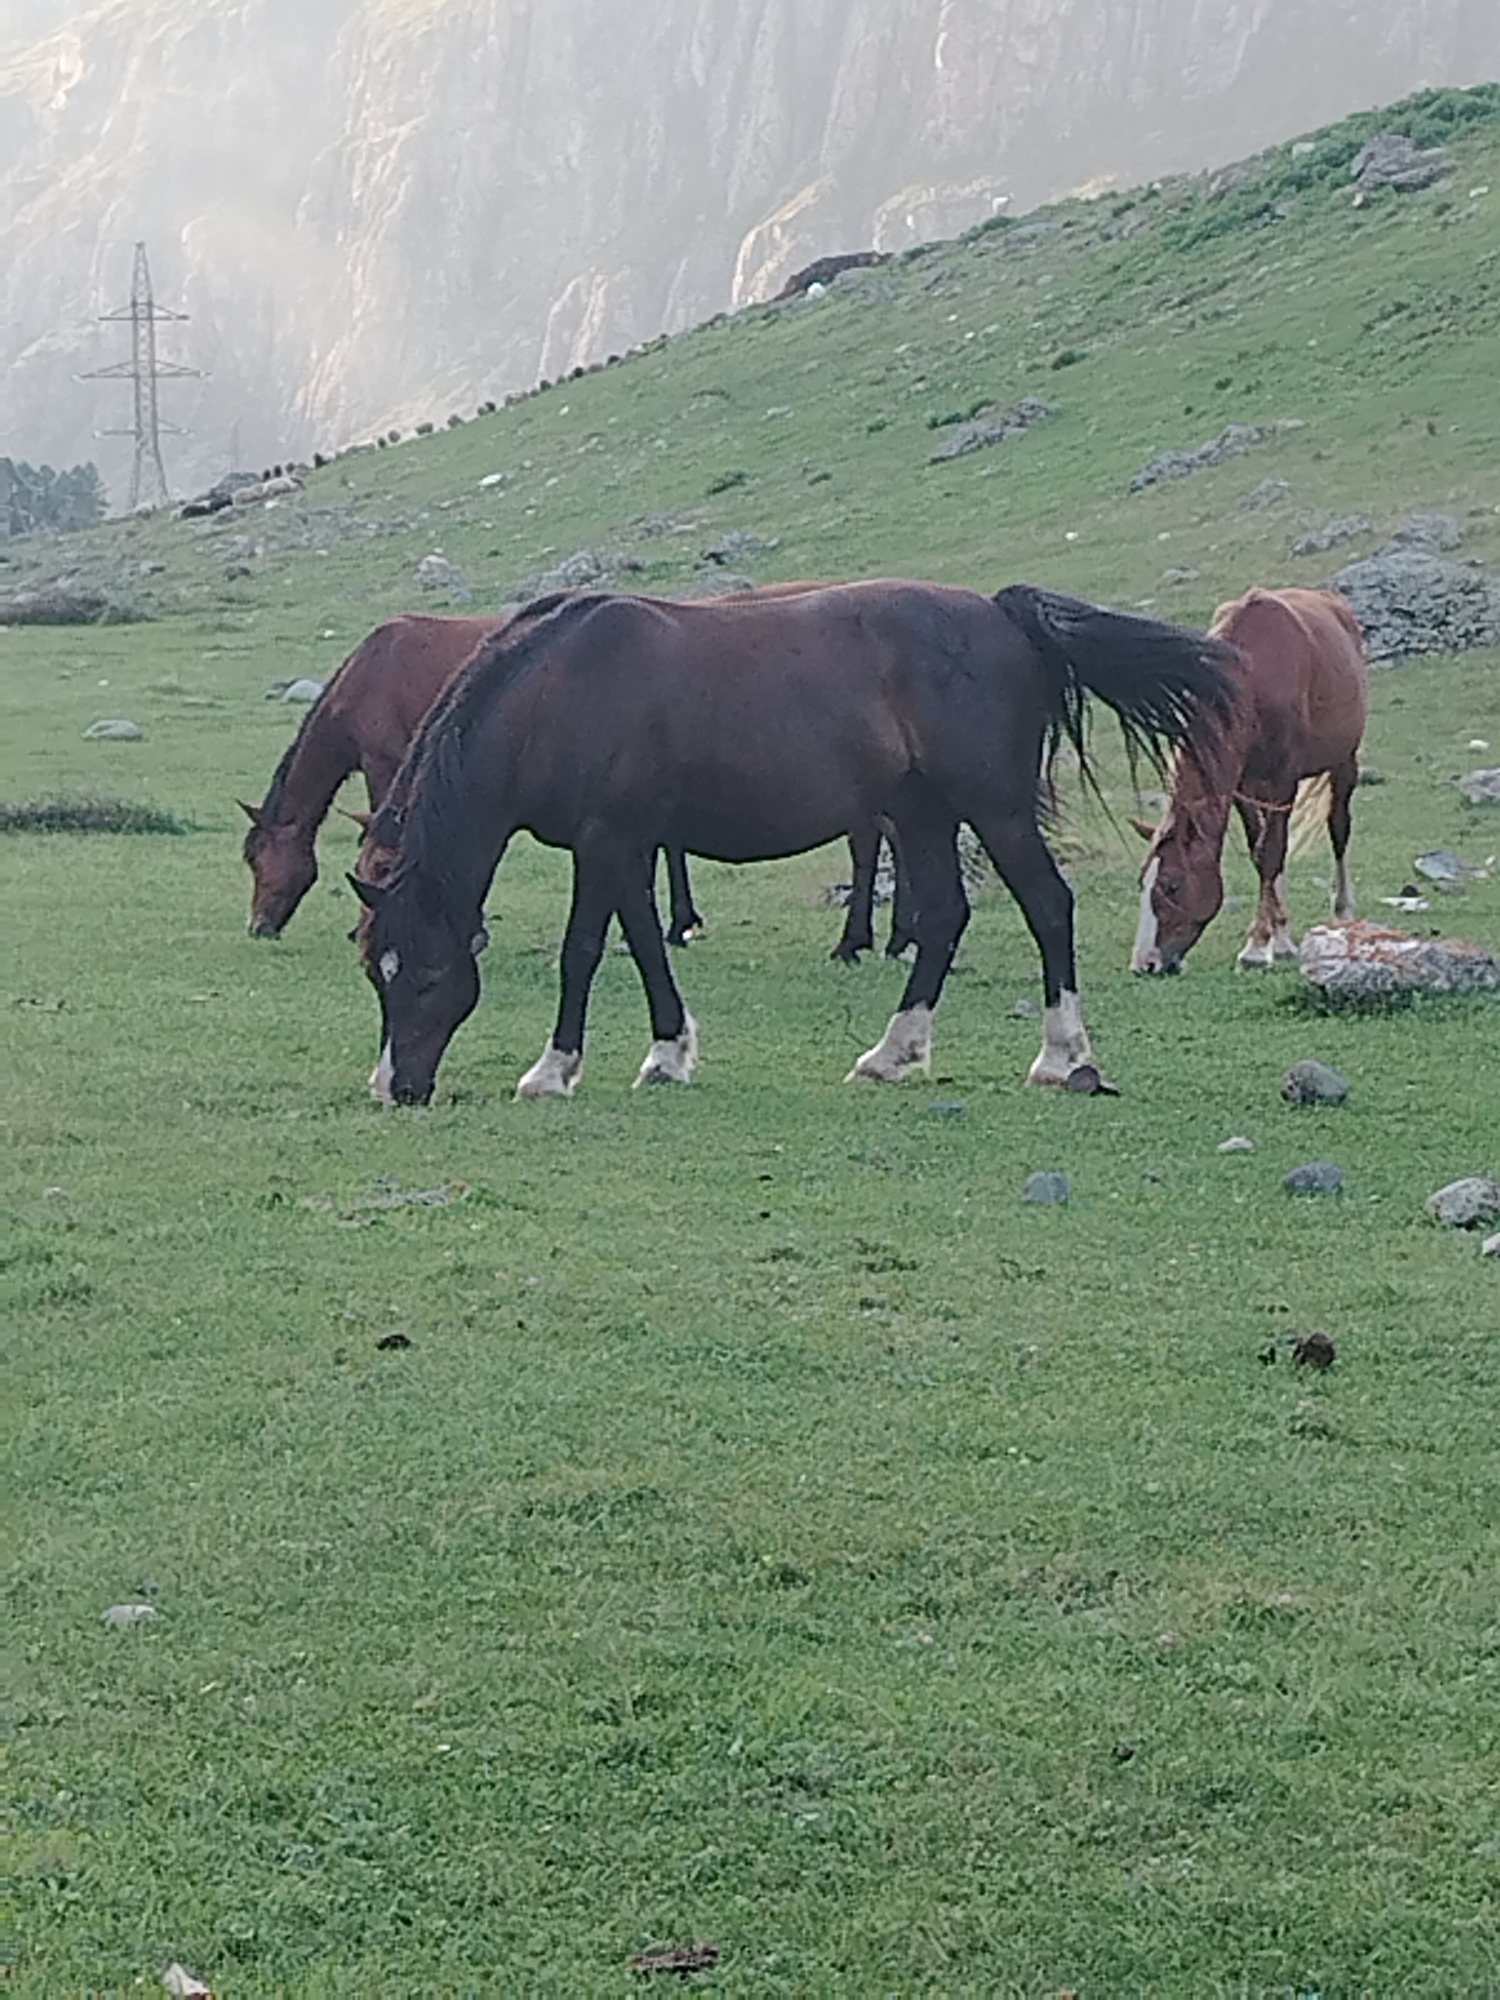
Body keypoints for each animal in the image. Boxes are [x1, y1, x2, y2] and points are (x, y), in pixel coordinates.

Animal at [347, 580, 1235, 1106]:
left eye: (427, 975)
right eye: (374, 973)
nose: (396, 1088)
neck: (557, 692)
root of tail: (1000, 614)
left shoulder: (604, 842)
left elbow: (584, 951)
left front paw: (552, 1070)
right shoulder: (628, 845)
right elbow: (646, 943)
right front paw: (668, 1052)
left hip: (996, 808)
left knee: (1048, 906)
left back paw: (1062, 1057)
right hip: (921, 814)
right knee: (944, 919)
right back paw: (892, 1053)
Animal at [1129, 586, 1368, 974]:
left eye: (1172, 886)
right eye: (1142, 882)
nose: (1144, 963)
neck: (1254, 675)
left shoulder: (1283, 782)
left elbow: (1272, 853)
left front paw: (1256, 946)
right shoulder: (1241, 788)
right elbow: (1261, 854)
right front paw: (1274, 937)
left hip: (1343, 763)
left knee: (1339, 829)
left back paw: (1344, 915)